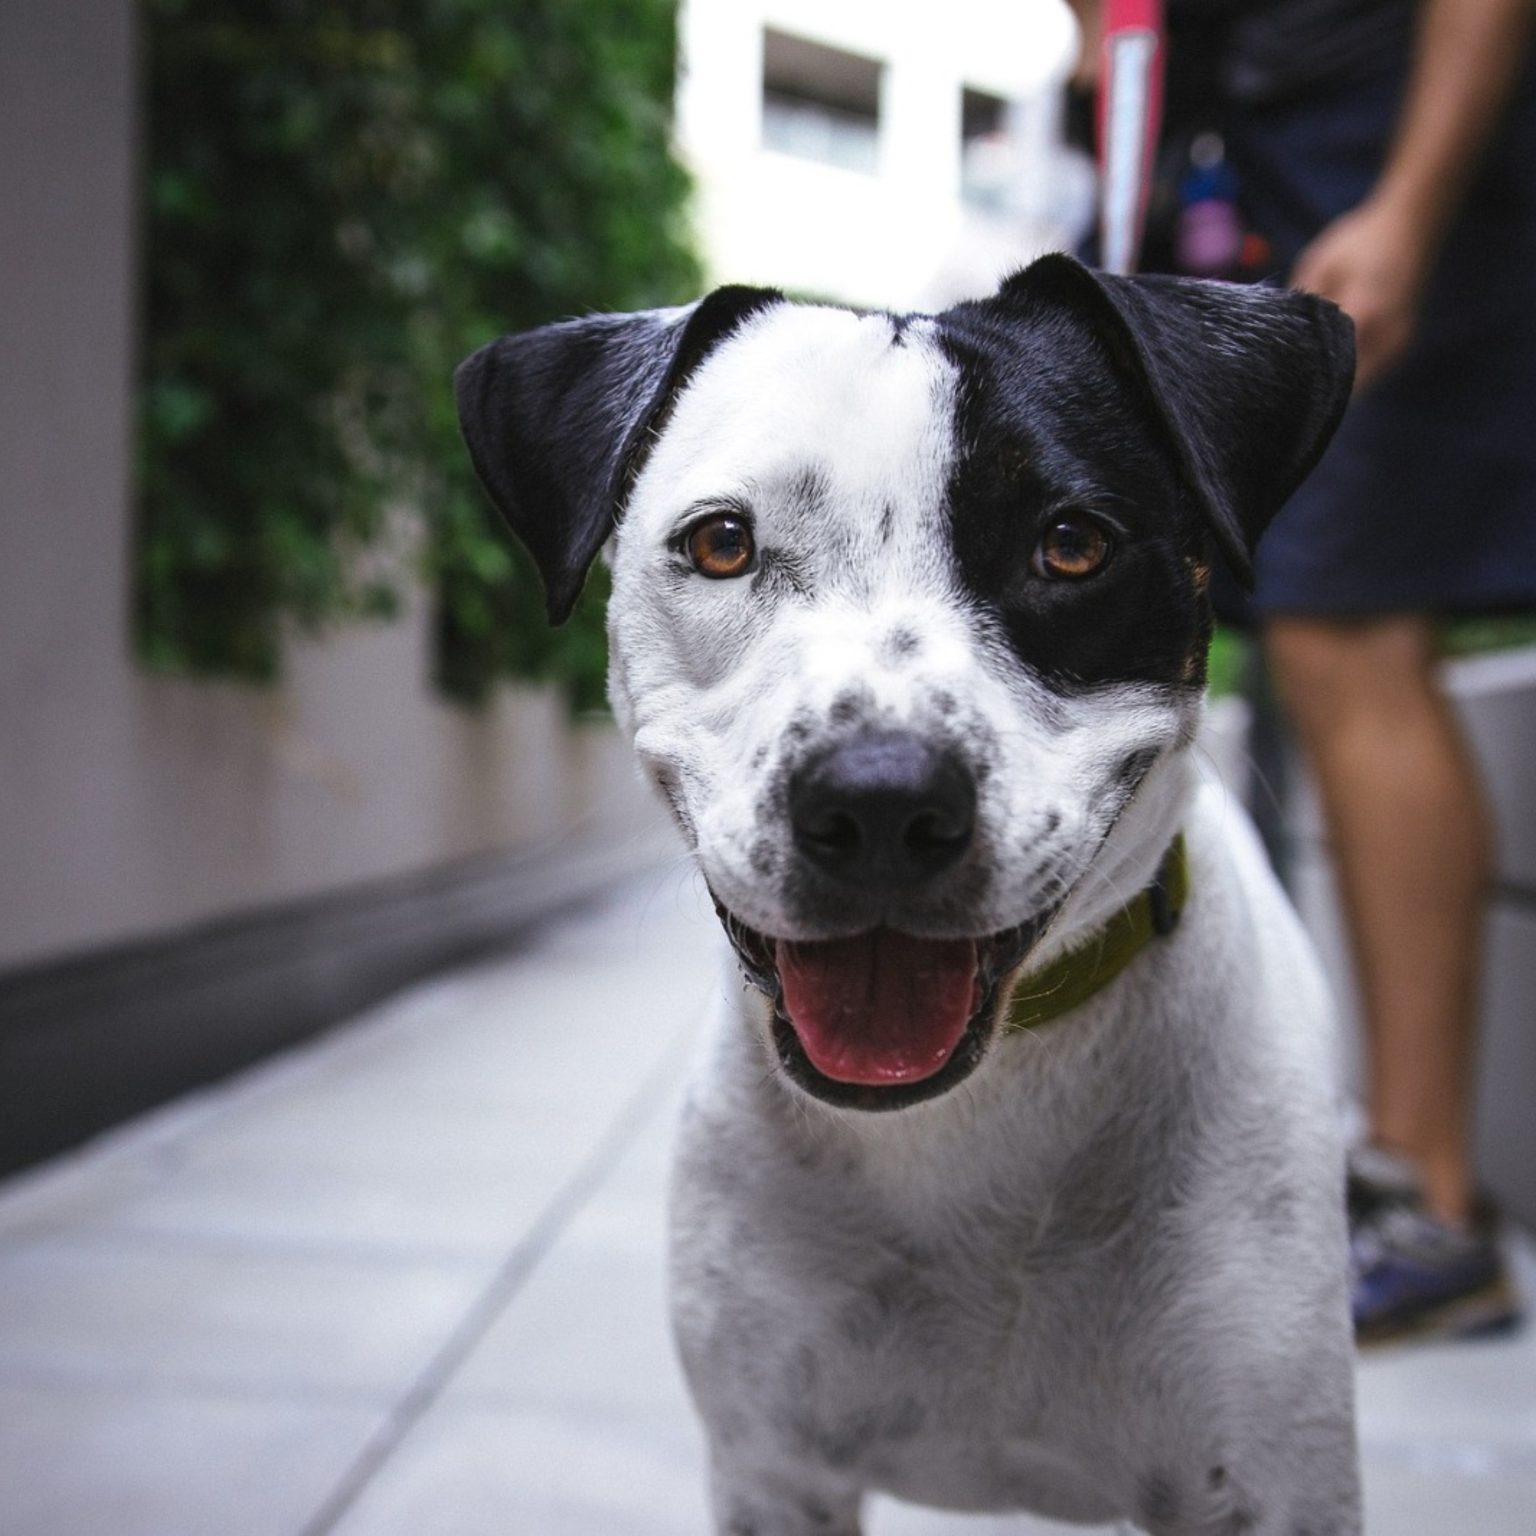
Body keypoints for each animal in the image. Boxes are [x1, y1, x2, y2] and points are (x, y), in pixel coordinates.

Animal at [451, 254, 1357, 1536]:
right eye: (721, 543)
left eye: (1072, 545)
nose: (879, 800)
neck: (973, 1122)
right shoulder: (776, 1470)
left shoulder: (1273, 1481)